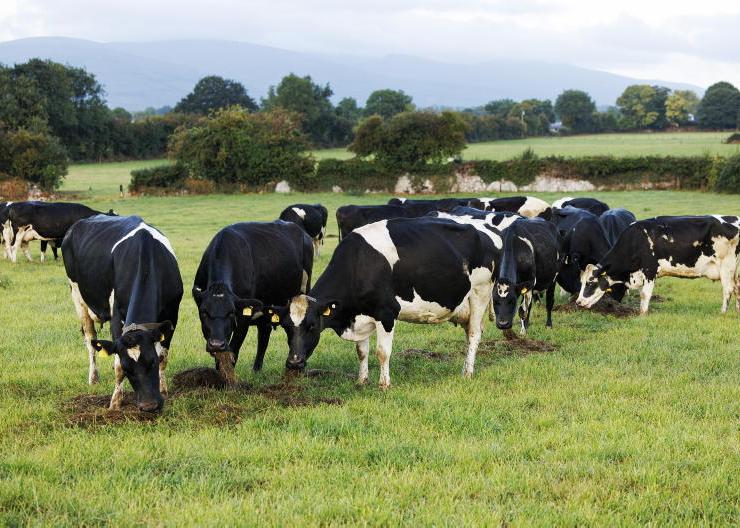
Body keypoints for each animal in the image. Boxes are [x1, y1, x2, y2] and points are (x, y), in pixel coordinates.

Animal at [62, 215, 183, 412]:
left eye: (152, 362)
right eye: (128, 370)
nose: (148, 406)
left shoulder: (173, 312)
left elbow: (164, 355)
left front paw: (164, 390)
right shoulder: (116, 314)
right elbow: (117, 363)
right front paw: (115, 402)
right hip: (77, 296)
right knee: (90, 340)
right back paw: (93, 378)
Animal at [192, 221, 313, 382]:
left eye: (231, 313)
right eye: (204, 313)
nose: (217, 344)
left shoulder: (243, 319)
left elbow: (233, 352)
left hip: (303, 291)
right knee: (264, 334)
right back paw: (256, 370)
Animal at [268, 216, 503, 388]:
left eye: (312, 326)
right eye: (286, 327)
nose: (294, 362)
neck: (359, 265)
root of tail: (487, 227)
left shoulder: (386, 314)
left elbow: (382, 352)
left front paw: (384, 384)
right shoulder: (360, 315)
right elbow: (362, 351)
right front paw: (362, 381)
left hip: (480, 292)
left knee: (474, 334)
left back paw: (468, 373)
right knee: (469, 332)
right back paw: (465, 368)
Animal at [577, 215, 740, 314]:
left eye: (590, 282)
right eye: (582, 282)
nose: (578, 302)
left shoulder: (650, 270)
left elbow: (645, 294)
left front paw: (643, 315)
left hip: (726, 265)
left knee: (728, 289)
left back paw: (722, 313)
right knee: (737, 287)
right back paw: (737, 311)